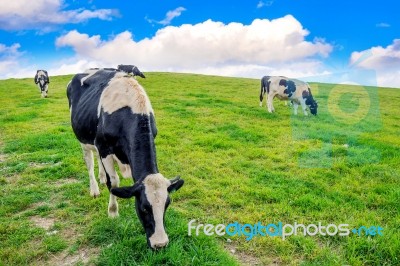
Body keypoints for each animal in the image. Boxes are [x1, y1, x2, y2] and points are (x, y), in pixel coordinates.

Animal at [66, 69, 184, 249]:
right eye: (144, 208)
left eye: (166, 205)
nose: (160, 244)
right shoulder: (104, 148)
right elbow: (114, 183)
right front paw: (113, 212)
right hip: (83, 139)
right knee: (89, 162)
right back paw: (94, 189)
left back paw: (101, 177)